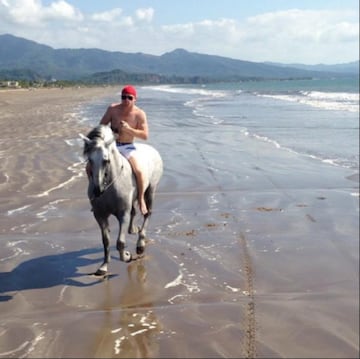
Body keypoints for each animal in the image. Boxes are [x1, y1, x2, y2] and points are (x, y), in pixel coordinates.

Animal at [80, 124, 163, 276]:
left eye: (106, 160)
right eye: (90, 160)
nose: (97, 190)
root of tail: (152, 150)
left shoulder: (122, 214)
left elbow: (120, 242)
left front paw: (127, 256)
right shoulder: (100, 215)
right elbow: (106, 241)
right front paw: (103, 267)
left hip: (151, 190)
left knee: (147, 213)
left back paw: (140, 245)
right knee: (134, 212)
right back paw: (132, 230)